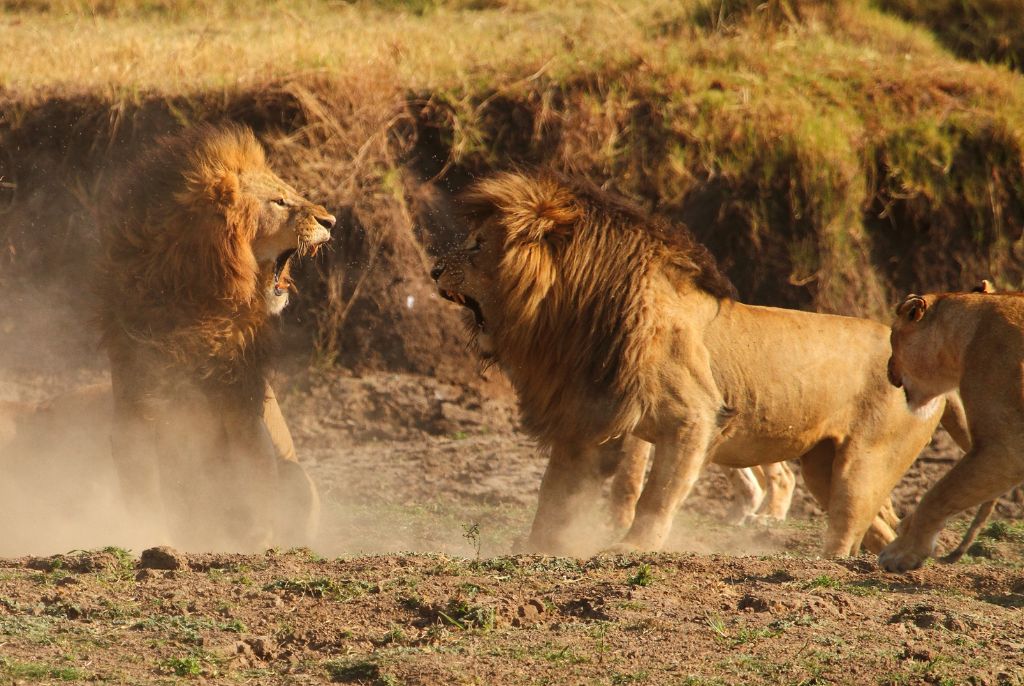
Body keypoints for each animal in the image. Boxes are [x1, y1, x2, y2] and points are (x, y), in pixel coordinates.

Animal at [97, 124, 333, 551]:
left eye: (289, 193)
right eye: (279, 202)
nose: (332, 220)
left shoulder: (242, 405)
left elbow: (252, 480)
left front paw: (252, 545)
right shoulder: (136, 406)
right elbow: (145, 491)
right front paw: (150, 537)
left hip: (298, 476)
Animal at [432, 170, 967, 557]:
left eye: (477, 245)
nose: (434, 269)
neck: (568, 317)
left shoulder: (694, 417)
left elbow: (657, 494)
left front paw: (629, 549)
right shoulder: (585, 418)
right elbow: (556, 491)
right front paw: (539, 546)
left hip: (864, 463)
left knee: (847, 527)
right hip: (824, 465)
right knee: (878, 527)